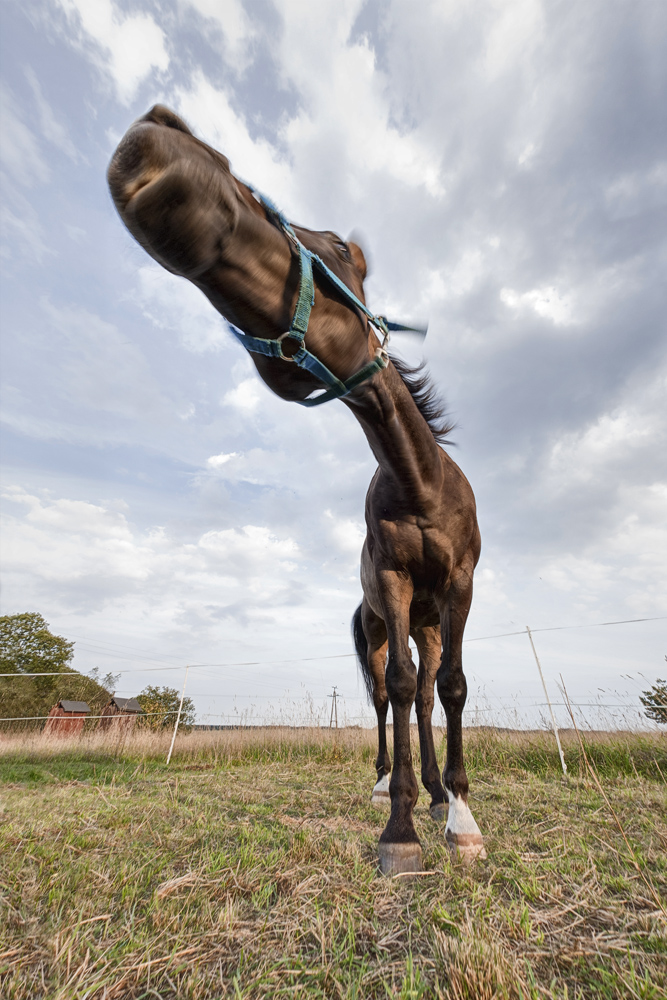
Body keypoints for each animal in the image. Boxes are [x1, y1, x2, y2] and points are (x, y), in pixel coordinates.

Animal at [108, 105, 486, 872]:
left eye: (338, 245)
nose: (161, 139)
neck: (421, 482)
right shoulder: (395, 584)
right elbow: (399, 688)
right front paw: (399, 828)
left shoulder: (459, 584)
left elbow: (452, 688)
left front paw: (458, 814)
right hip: (382, 626)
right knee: (391, 695)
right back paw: (390, 784)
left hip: (432, 619)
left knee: (430, 692)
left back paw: (436, 792)